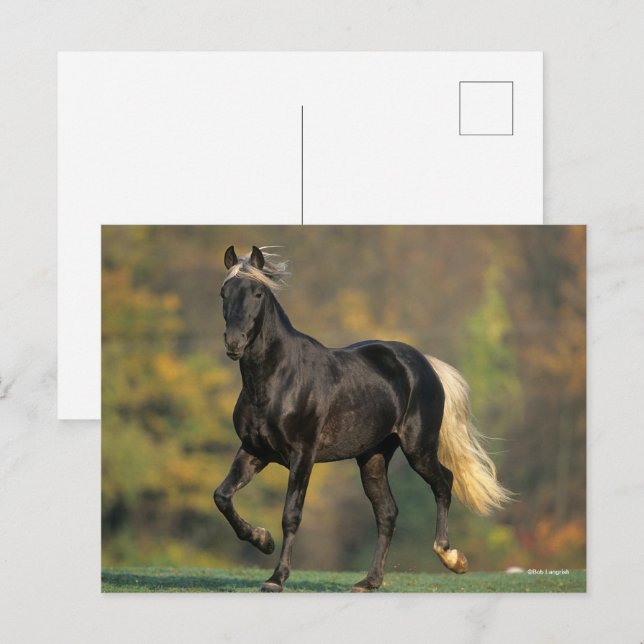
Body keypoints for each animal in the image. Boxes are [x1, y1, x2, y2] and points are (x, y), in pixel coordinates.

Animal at [214, 245, 511, 592]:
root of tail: (424, 363)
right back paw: (369, 581)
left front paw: (276, 578)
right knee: (387, 512)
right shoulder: (254, 451)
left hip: (419, 449)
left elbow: (291, 514)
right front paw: (263, 540)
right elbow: (223, 497)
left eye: (258, 293)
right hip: (373, 457)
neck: (278, 381)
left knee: (444, 483)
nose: (234, 343)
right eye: (224, 293)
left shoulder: (302, 455)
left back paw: (451, 558)